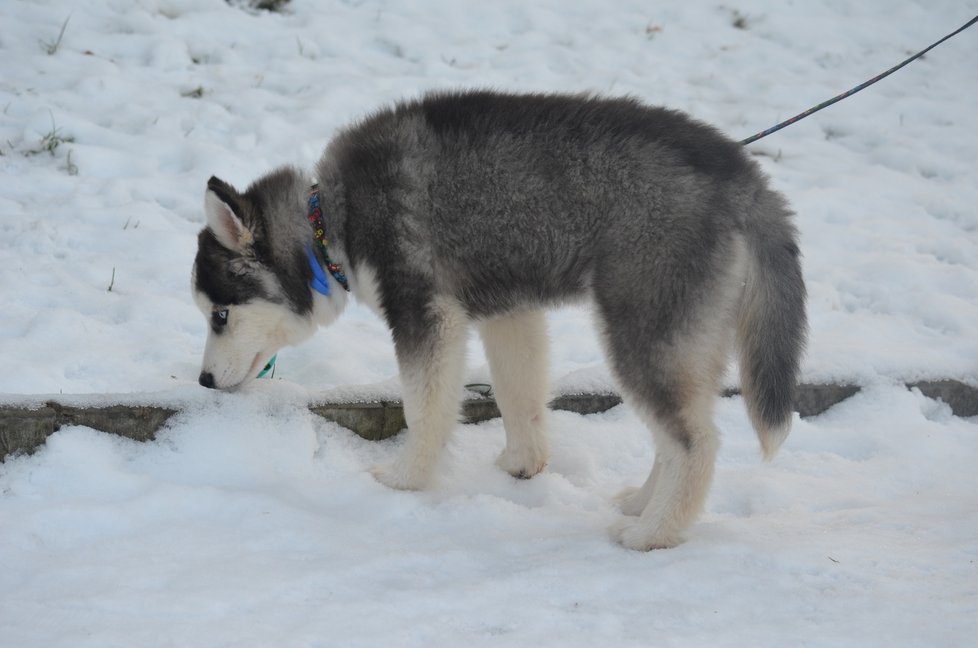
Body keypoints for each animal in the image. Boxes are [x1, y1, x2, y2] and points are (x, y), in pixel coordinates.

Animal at [191, 90, 800, 548]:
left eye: (219, 315)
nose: (203, 381)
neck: (327, 223)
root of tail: (744, 175)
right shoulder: (510, 312)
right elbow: (518, 394)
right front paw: (521, 464)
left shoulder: (425, 311)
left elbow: (425, 409)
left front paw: (405, 479)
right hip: (684, 340)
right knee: (675, 435)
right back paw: (643, 504)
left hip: (642, 329)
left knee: (696, 442)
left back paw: (656, 532)